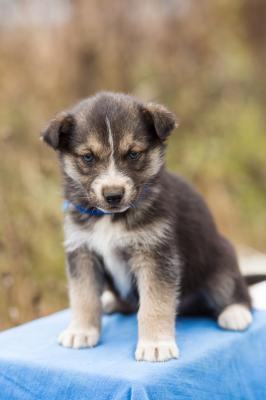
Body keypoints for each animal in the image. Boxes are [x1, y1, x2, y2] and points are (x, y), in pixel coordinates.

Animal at [41, 92, 251, 360]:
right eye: (88, 157)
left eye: (133, 154)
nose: (113, 195)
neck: (110, 219)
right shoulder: (82, 252)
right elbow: (83, 295)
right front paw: (81, 331)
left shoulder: (155, 255)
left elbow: (155, 303)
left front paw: (156, 344)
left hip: (221, 261)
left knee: (235, 289)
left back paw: (235, 313)